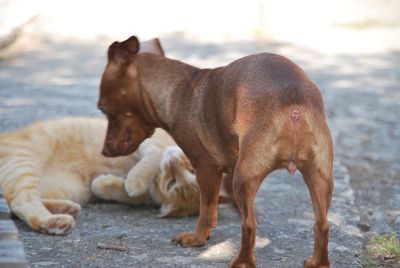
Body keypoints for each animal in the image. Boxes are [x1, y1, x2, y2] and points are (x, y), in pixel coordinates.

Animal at [0, 117, 200, 234]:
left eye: (171, 183)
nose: (173, 161)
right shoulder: (149, 139)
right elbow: (155, 155)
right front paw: (135, 181)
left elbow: (121, 191)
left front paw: (108, 184)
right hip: (23, 163)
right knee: (20, 201)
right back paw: (54, 220)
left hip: (69, 188)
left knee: (14, 203)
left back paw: (63, 211)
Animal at [98, 36, 332, 268]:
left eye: (102, 108)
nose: (103, 150)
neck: (178, 91)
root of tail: (294, 105)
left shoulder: (206, 168)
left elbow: (206, 209)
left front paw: (197, 239)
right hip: (320, 179)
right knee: (322, 224)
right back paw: (317, 262)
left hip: (244, 179)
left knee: (249, 224)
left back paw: (241, 262)